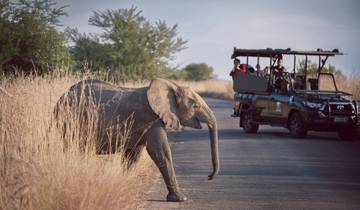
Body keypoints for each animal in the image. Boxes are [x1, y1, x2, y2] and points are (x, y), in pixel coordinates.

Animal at [54, 78, 219, 202]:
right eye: (195, 106)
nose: (209, 177)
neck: (171, 86)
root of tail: (61, 98)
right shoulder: (150, 118)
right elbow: (160, 151)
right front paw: (180, 199)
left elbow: (133, 154)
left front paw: (124, 183)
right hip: (68, 121)